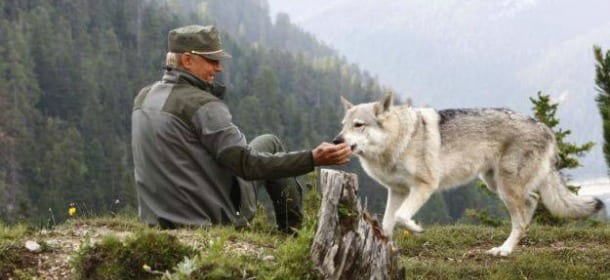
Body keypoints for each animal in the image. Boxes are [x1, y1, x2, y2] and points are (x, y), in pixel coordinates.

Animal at [332, 92, 604, 256]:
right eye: (343, 125)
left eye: (359, 125)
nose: (336, 141)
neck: (399, 140)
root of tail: (545, 128)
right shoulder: (397, 191)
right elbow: (388, 225)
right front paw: (387, 251)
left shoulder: (424, 186)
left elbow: (400, 217)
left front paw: (416, 228)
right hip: (496, 183)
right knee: (532, 202)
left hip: (505, 187)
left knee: (521, 219)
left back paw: (504, 250)